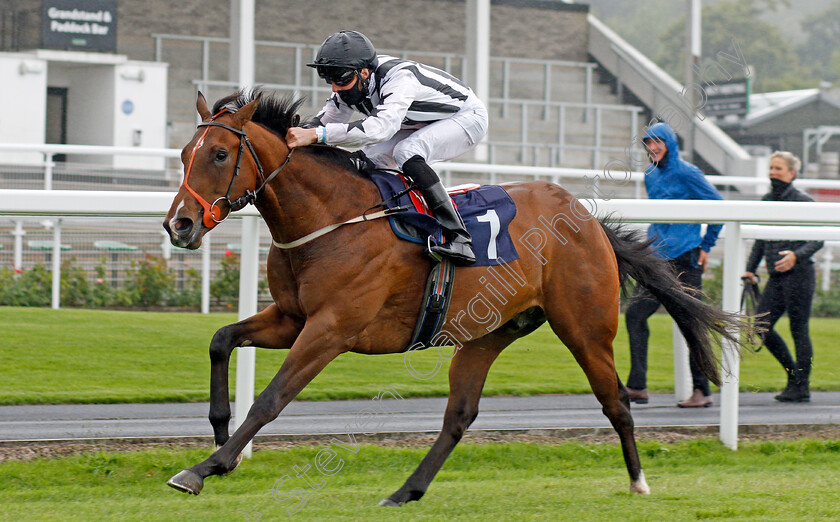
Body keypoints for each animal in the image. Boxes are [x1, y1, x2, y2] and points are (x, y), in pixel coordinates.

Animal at [162, 89, 748, 504]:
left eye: (220, 153)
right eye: (186, 153)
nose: (179, 225)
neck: (333, 218)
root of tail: (588, 220)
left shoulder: (331, 328)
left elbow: (271, 398)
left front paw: (203, 468)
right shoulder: (291, 317)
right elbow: (221, 339)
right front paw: (219, 434)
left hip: (584, 327)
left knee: (616, 400)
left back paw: (638, 482)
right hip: (487, 333)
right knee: (459, 415)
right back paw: (405, 491)